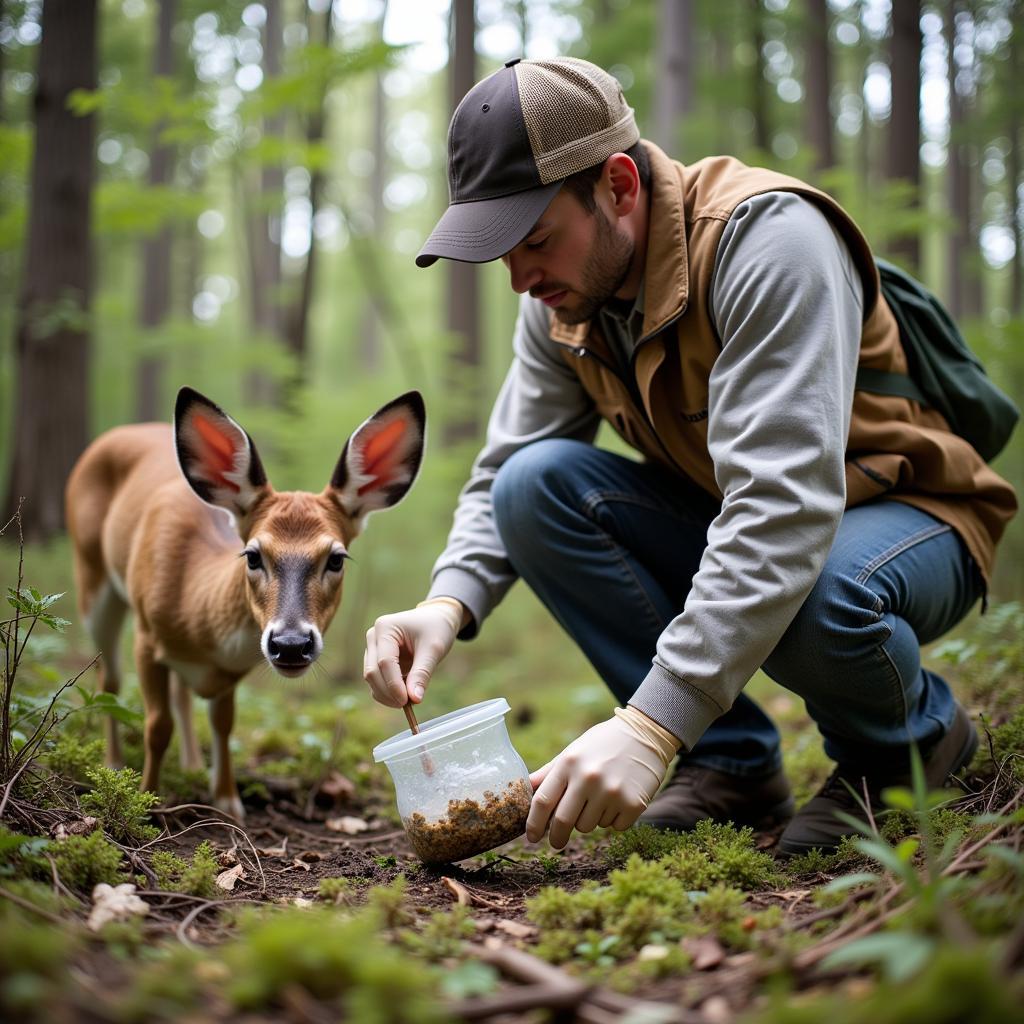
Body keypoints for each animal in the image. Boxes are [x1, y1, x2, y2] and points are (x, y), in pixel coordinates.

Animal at [64, 385, 425, 815]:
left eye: (336, 558)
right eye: (253, 555)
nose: (291, 644)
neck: (199, 618)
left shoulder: (225, 675)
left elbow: (223, 723)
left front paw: (227, 803)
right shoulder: (147, 636)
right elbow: (156, 725)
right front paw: (146, 802)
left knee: (180, 693)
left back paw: (190, 765)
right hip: (91, 576)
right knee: (110, 680)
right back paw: (115, 763)